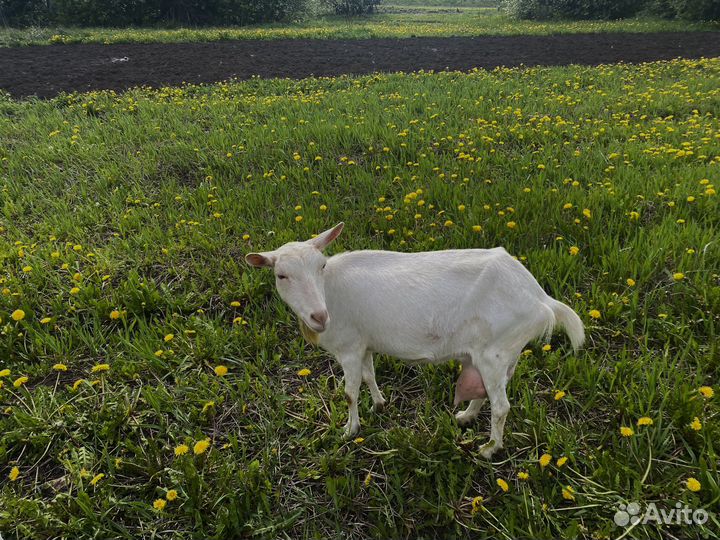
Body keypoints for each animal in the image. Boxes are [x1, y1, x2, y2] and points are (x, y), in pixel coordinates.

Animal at [246, 223, 584, 458]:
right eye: (281, 275)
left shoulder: (349, 348)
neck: (330, 292)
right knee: (486, 391)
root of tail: (541, 300)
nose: (319, 316)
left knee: (501, 406)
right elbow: (369, 376)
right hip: (498, 353)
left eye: (322, 266)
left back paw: (489, 449)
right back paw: (466, 417)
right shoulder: (364, 343)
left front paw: (349, 430)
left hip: (496, 351)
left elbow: (350, 393)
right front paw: (379, 404)